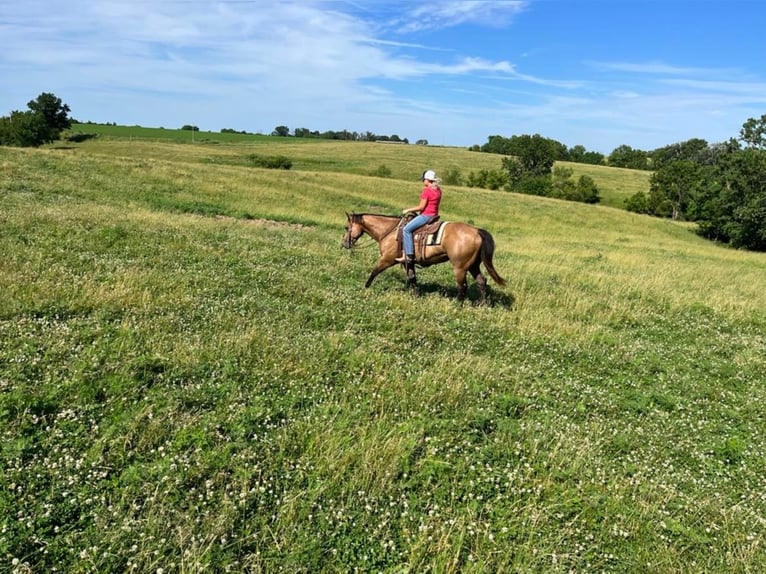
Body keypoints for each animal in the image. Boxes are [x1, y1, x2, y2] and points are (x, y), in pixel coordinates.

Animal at [342, 212, 504, 302]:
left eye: (346, 227)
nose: (344, 243)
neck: (389, 231)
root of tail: (477, 231)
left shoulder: (387, 259)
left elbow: (374, 271)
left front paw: (366, 287)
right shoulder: (408, 261)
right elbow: (412, 277)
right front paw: (416, 295)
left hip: (460, 267)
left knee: (463, 286)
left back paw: (457, 304)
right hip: (473, 265)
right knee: (482, 281)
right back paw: (483, 304)